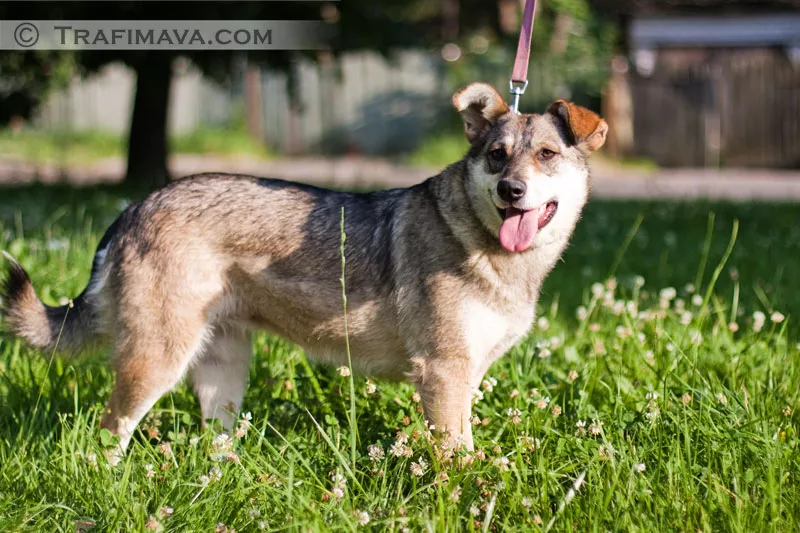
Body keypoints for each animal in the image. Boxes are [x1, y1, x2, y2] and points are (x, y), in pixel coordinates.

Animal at [3, 82, 608, 454]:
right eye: (497, 156)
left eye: (547, 155)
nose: (511, 191)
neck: (495, 253)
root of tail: (133, 208)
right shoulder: (443, 375)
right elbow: (458, 460)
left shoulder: (466, 376)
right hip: (156, 361)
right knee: (109, 433)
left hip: (222, 373)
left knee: (213, 444)